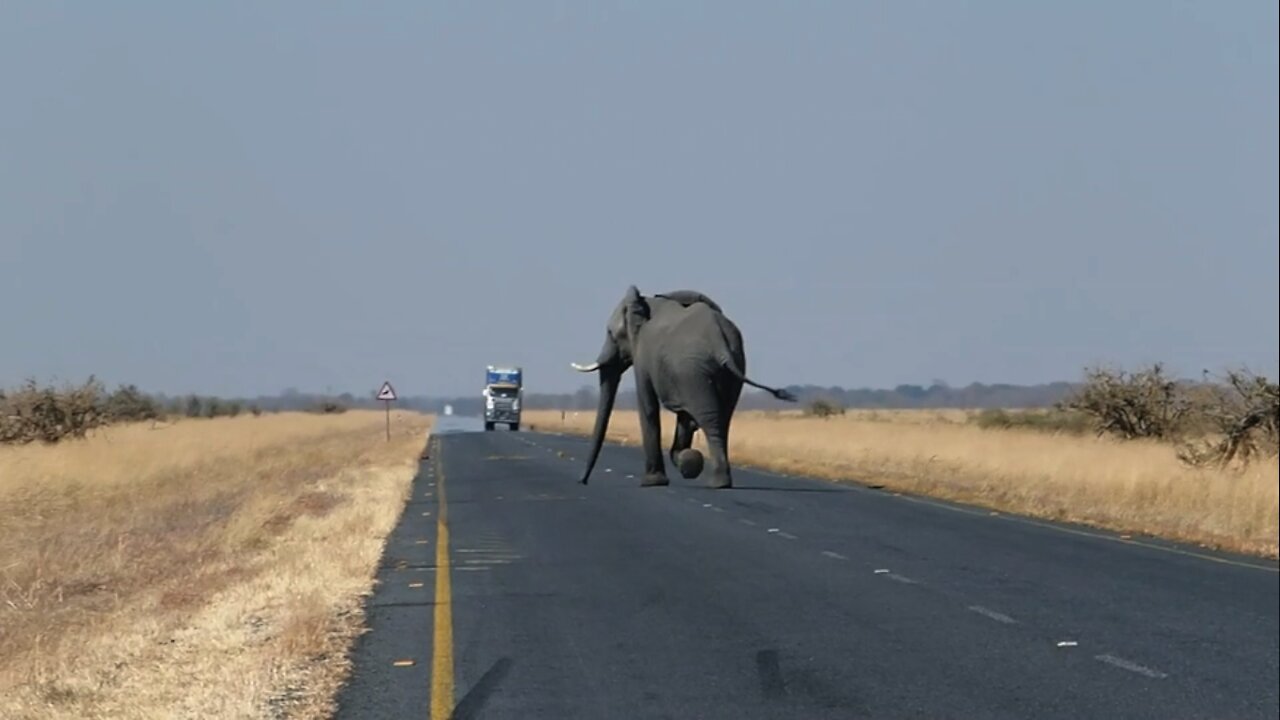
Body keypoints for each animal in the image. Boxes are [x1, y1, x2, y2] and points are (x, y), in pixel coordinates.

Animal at [568, 285, 793, 486]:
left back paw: (718, 482)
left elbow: (648, 405)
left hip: (692, 369)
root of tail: (720, 344)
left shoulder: (644, 355)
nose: (582, 481)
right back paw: (718, 478)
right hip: (726, 368)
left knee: (711, 420)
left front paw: (653, 481)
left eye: (610, 333)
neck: (645, 302)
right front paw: (687, 461)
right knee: (722, 419)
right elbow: (684, 418)